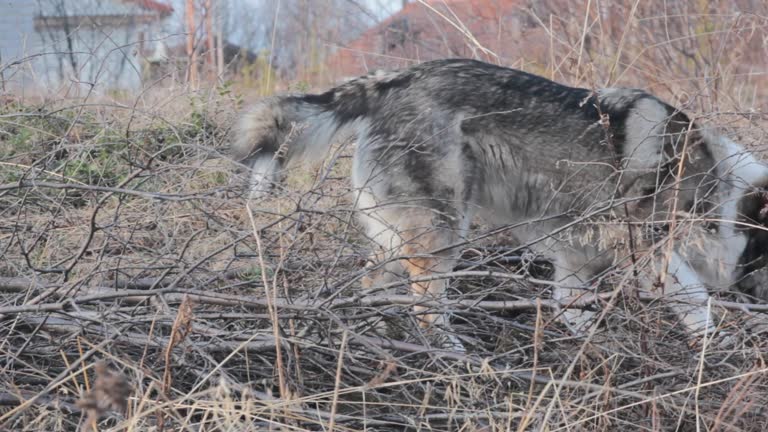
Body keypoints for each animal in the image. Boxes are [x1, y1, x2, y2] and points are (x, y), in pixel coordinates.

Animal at [234, 58, 768, 340]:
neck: (722, 188)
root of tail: (392, 80)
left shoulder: (578, 261)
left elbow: (573, 311)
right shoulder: (651, 244)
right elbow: (696, 301)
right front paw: (714, 351)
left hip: (400, 236)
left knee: (374, 284)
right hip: (443, 229)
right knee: (426, 304)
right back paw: (447, 352)